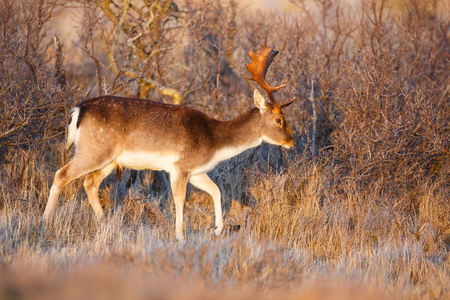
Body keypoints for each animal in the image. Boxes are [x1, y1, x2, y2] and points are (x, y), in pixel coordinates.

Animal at [43, 45, 296, 240]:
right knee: (61, 174)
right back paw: (44, 222)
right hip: (94, 149)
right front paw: (180, 237)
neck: (214, 142)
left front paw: (216, 230)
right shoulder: (180, 167)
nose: (291, 142)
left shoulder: (196, 171)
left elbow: (216, 191)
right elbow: (180, 201)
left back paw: (105, 224)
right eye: (278, 119)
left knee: (90, 183)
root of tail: (79, 109)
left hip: (109, 159)